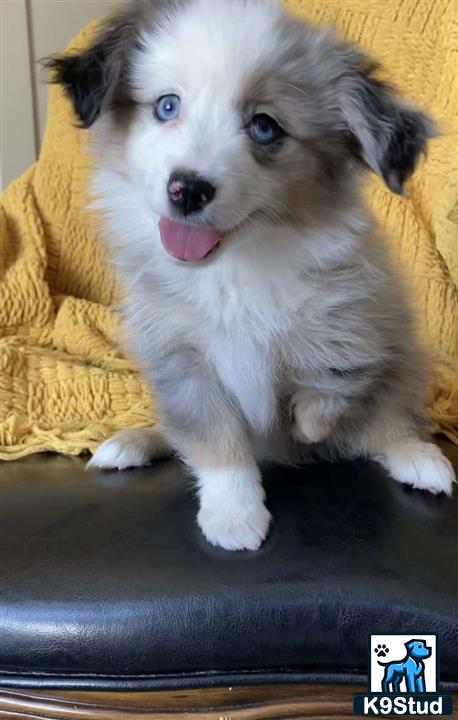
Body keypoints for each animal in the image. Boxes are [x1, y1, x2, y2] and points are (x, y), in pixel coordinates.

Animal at [48, 0, 452, 552]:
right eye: (167, 107)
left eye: (265, 127)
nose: (187, 190)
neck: (232, 269)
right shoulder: (180, 358)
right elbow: (216, 441)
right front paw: (234, 515)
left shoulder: (358, 306)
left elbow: (336, 375)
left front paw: (307, 422)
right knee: (172, 430)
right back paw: (130, 443)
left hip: (404, 371)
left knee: (387, 422)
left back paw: (420, 458)